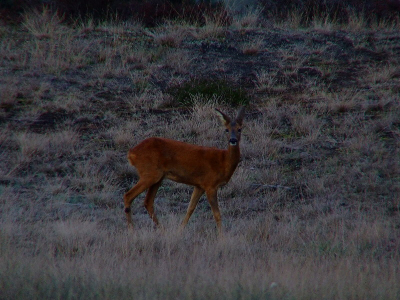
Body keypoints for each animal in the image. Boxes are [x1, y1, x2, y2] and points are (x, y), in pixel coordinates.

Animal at [123, 106, 245, 236]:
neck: (223, 161)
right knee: (128, 195)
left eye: (240, 129)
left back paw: (163, 230)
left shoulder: (199, 185)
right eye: (226, 130)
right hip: (149, 174)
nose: (233, 140)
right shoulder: (210, 185)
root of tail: (131, 153)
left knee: (148, 202)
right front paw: (221, 236)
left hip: (157, 177)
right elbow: (216, 214)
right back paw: (131, 229)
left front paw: (179, 231)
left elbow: (190, 208)